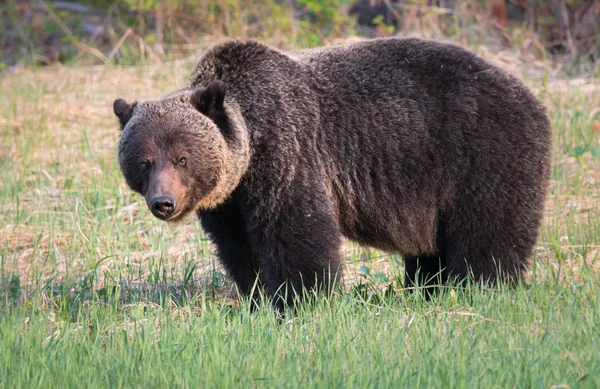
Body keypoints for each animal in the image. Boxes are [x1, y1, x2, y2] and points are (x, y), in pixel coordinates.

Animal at [113, 38, 552, 308]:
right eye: (144, 161)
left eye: (182, 158)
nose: (164, 202)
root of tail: (531, 96)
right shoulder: (230, 201)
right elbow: (241, 247)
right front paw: (257, 295)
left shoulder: (290, 153)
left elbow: (298, 232)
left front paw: (302, 300)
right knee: (432, 250)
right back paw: (426, 290)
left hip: (482, 155)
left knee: (488, 234)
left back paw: (480, 288)